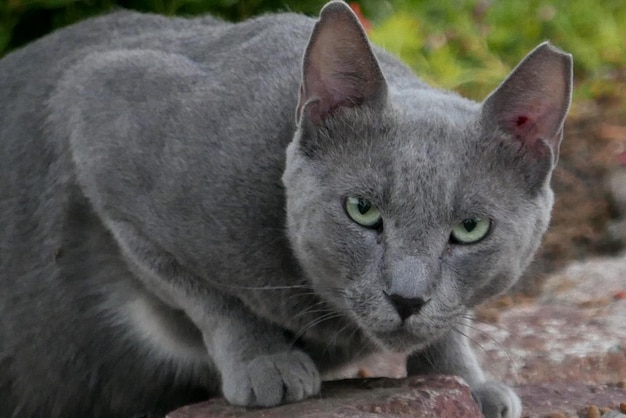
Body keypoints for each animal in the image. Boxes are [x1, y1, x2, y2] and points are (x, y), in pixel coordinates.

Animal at [0, 0, 572, 418]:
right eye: (361, 210)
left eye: (471, 228)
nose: (406, 298)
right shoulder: (97, 110)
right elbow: (206, 294)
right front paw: (267, 363)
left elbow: (453, 320)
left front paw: (467, 382)